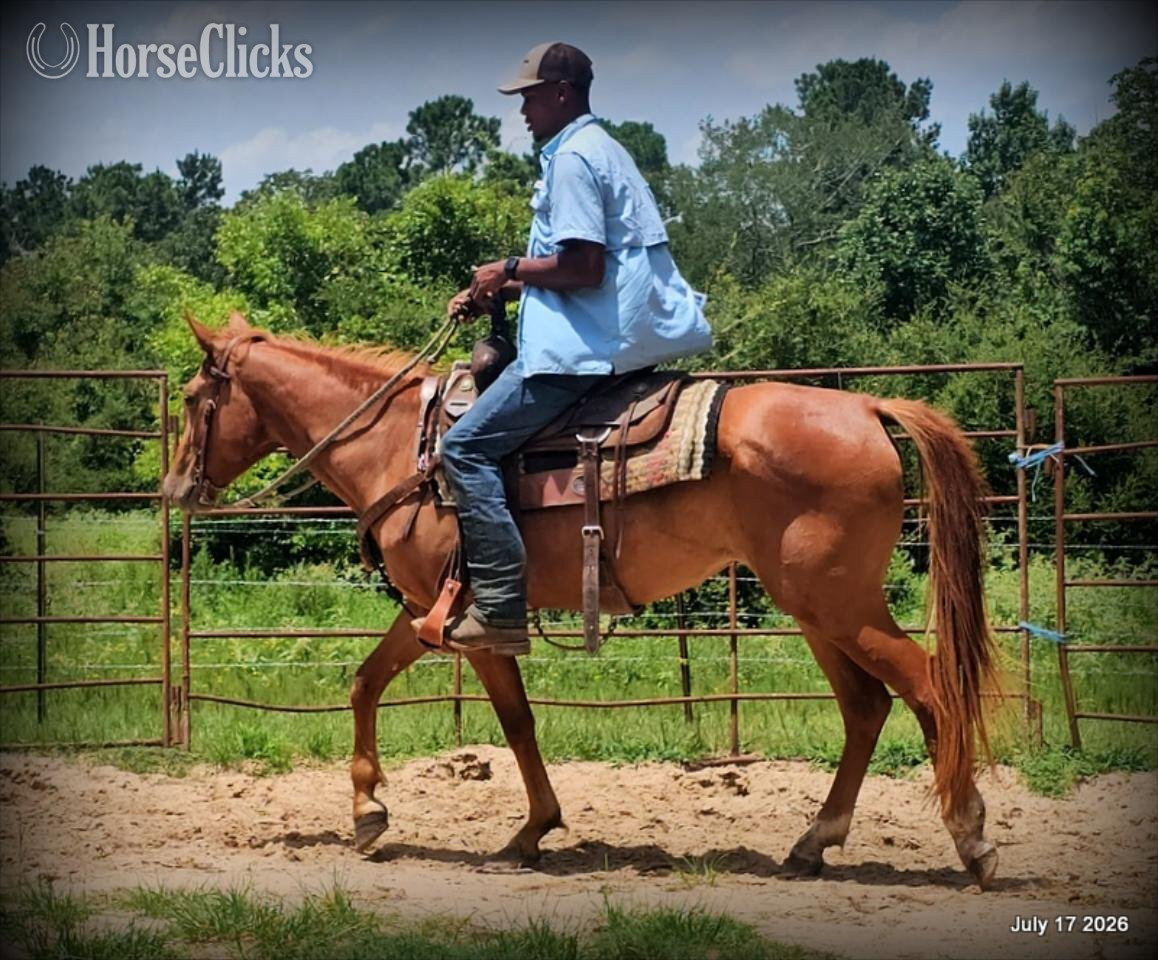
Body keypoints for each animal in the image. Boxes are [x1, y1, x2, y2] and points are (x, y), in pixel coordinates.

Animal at [163, 311, 1001, 888]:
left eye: (197, 397)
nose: (174, 488)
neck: (404, 447)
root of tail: (865, 410)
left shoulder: (463, 619)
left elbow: (504, 719)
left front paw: (510, 828)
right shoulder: (434, 612)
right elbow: (380, 686)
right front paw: (384, 813)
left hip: (841, 606)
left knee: (928, 690)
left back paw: (971, 838)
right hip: (816, 609)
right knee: (866, 708)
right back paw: (813, 842)